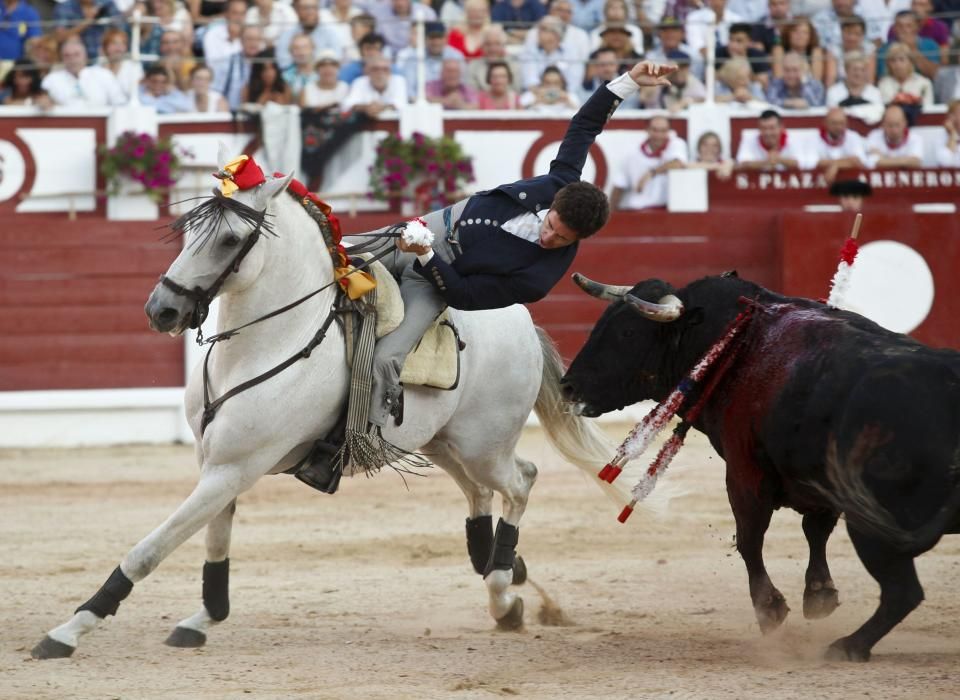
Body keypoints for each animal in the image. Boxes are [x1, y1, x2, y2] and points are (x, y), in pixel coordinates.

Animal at [30, 156, 628, 660]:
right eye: (188, 232)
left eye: (229, 239)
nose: (163, 310)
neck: (267, 342)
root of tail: (523, 322)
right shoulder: (216, 464)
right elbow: (216, 543)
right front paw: (204, 618)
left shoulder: (232, 469)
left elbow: (150, 549)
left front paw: (68, 630)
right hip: (437, 442)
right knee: (481, 493)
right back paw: (504, 577)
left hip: (484, 443)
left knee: (521, 480)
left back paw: (504, 587)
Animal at [560, 270, 960, 660]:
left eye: (627, 332)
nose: (567, 387)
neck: (739, 345)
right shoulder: (816, 480)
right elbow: (815, 529)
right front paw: (819, 595)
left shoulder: (744, 471)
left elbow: (750, 538)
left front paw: (770, 610)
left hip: (873, 523)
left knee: (903, 593)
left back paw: (848, 646)